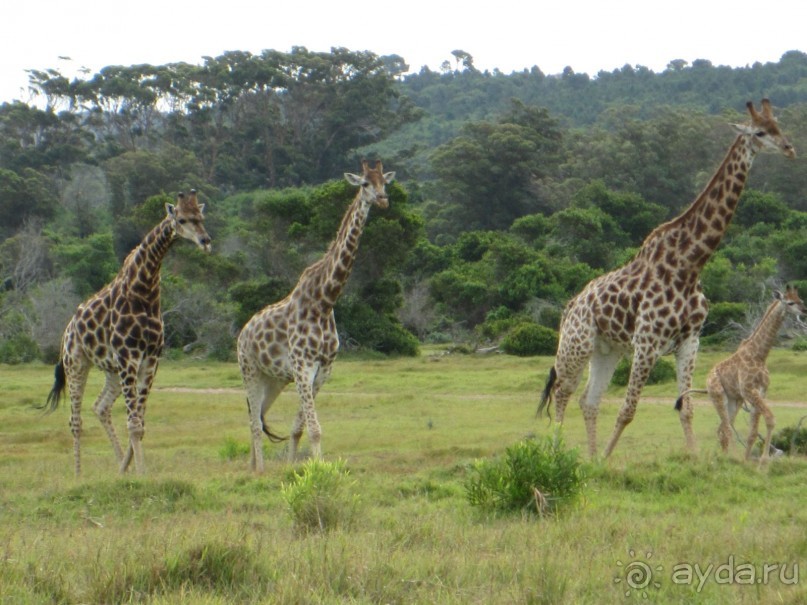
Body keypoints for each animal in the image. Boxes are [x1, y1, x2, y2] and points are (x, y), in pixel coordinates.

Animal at [41, 188, 211, 472]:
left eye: (201, 217)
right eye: (182, 219)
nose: (205, 241)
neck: (145, 291)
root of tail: (67, 330)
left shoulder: (150, 360)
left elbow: (140, 423)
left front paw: (130, 470)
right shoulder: (129, 357)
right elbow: (133, 424)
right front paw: (141, 473)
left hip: (111, 371)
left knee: (100, 407)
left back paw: (120, 467)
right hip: (76, 363)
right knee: (75, 421)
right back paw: (78, 474)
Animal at [235, 158, 396, 470]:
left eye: (385, 181)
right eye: (365, 184)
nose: (383, 199)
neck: (325, 301)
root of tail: (243, 332)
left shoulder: (323, 370)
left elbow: (298, 428)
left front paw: (294, 466)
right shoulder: (302, 366)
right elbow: (314, 428)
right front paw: (318, 470)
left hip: (273, 379)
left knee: (256, 417)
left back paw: (251, 466)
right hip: (249, 370)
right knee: (253, 422)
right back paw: (259, 470)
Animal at [536, 99, 796, 458]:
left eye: (778, 126)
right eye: (759, 132)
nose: (789, 148)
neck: (689, 265)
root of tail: (570, 306)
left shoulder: (690, 341)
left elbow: (685, 407)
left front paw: (694, 459)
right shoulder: (647, 341)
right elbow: (628, 409)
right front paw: (607, 458)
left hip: (608, 349)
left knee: (588, 399)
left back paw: (588, 458)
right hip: (577, 344)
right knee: (562, 392)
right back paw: (560, 454)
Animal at [676, 286, 807, 462]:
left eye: (801, 299)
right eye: (790, 302)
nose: (804, 310)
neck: (759, 355)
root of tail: (707, 382)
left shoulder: (760, 392)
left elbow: (753, 432)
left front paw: (747, 461)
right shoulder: (749, 390)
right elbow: (770, 419)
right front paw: (762, 461)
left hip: (735, 401)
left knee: (722, 429)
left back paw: (725, 457)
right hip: (718, 397)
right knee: (726, 428)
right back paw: (731, 457)